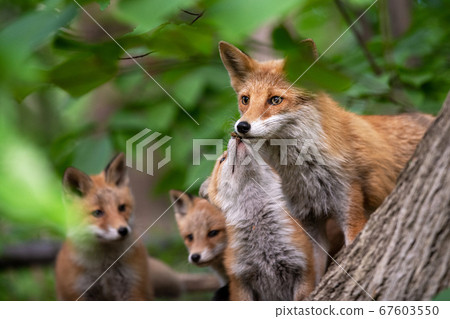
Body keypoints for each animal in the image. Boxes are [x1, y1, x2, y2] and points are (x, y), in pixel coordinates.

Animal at [220, 41, 434, 282]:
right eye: (245, 99)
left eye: (275, 100)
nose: (242, 126)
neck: (304, 172)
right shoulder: (309, 221)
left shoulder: (350, 208)